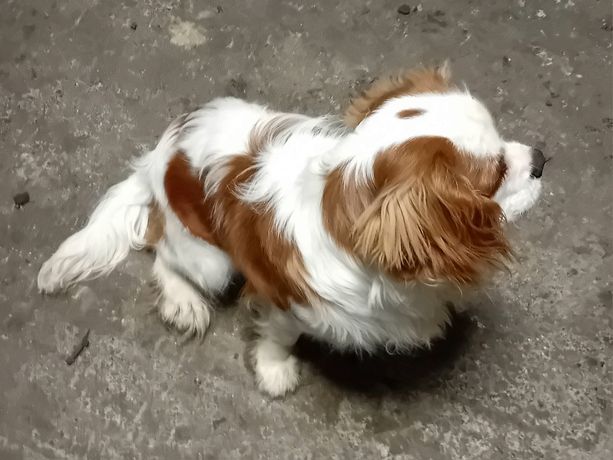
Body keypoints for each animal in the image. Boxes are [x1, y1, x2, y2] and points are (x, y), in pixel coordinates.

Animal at [39, 63, 544, 396]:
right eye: (496, 173)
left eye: (504, 142)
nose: (542, 158)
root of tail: (159, 153)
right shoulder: (286, 297)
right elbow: (281, 335)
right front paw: (274, 370)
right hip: (210, 260)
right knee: (160, 249)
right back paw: (184, 302)